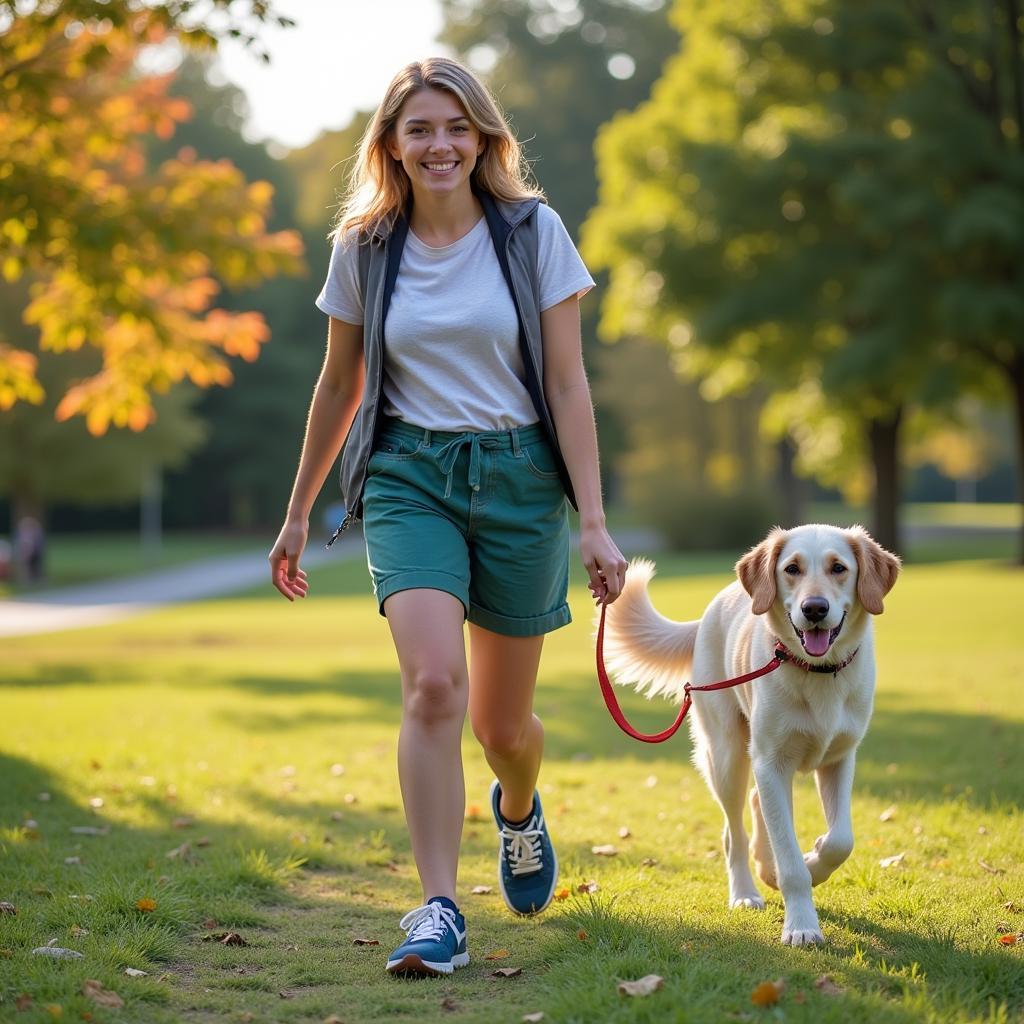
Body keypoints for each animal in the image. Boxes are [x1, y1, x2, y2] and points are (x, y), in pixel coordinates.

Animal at [602, 524, 901, 946]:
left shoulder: (840, 758)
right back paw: (745, 891)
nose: (814, 609)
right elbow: (790, 859)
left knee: (760, 804)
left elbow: (841, 841)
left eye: (839, 568)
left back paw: (767, 869)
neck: (815, 671)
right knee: (734, 834)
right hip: (728, 758)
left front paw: (815, 859)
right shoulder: (770, 761)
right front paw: (802, 924)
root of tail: (711, 611)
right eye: (792, 568)